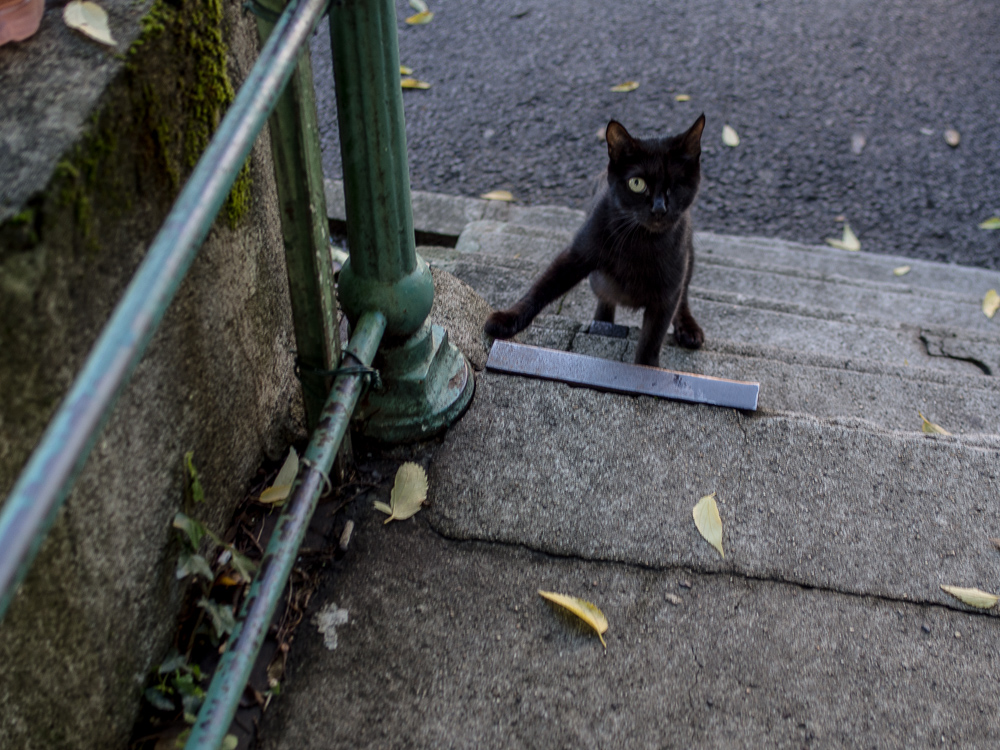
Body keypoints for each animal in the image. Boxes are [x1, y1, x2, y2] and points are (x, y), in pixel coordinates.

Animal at [482, 114, 704, 368]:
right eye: (637, 183)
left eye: (676, 185)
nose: (659, 208)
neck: (641, 241)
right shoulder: (577, 254)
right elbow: (541, 288)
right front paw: (507, 319)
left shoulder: (668, 292)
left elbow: (652, 338)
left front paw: (646, 369)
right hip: (598, 279)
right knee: (605, 296)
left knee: (683, 298)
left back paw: (688, 328)